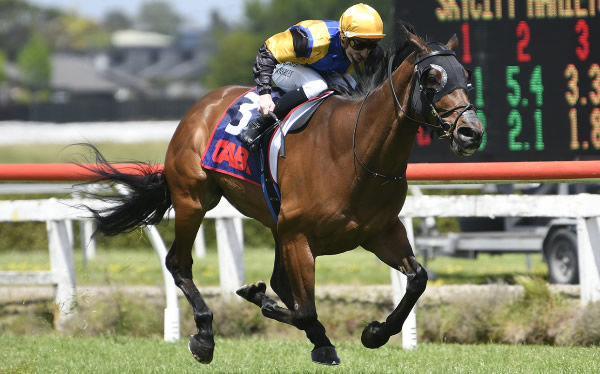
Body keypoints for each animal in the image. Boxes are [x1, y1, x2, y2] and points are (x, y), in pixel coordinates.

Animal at [83, 30, 482, 366]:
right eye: (431, 78)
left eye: (464, 74)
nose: (471, 132)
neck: (356, 153)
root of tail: (203, 104)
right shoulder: (298, 235)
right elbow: (304, 307)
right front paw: (261, 302)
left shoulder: (378, 232)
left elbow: (418, 279)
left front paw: (374, 333)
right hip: (193, 199)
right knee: (179, 263)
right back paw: (205, 336)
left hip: (272, 223)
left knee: (277, 282)